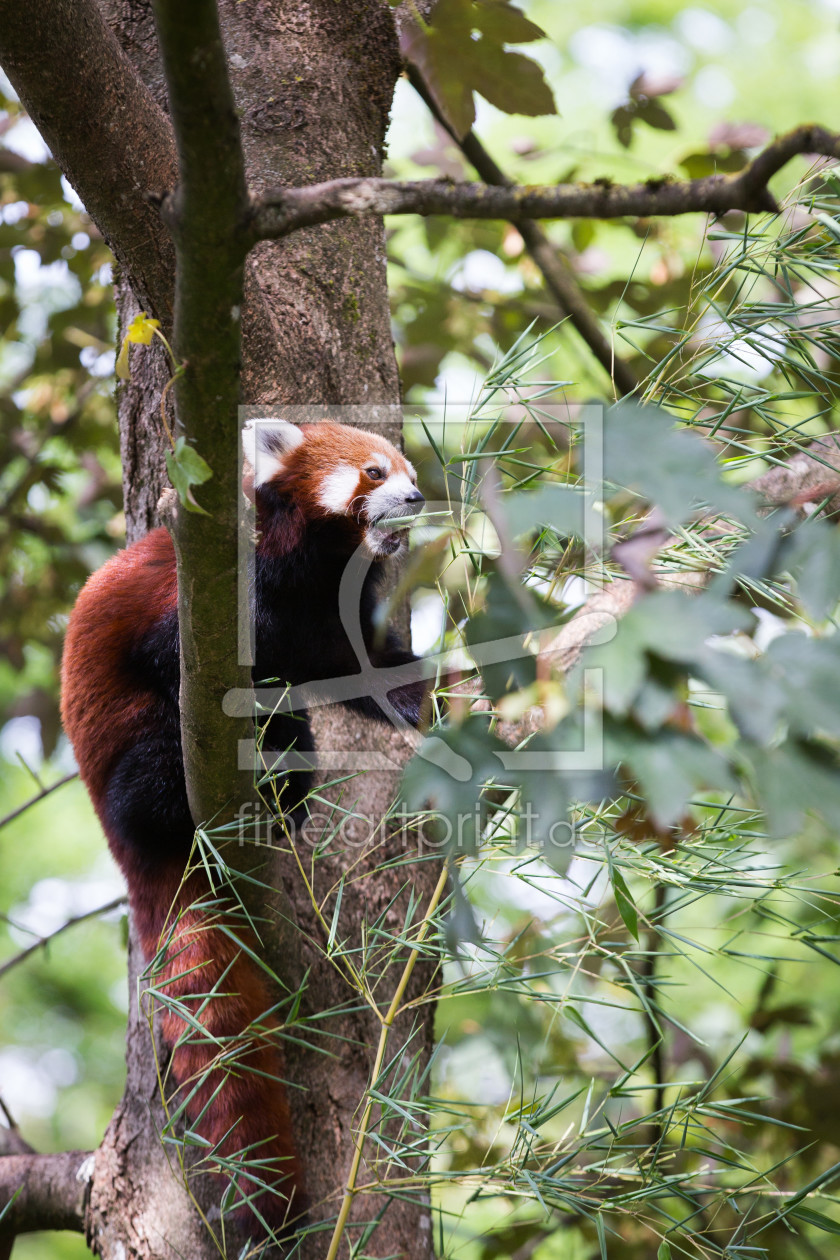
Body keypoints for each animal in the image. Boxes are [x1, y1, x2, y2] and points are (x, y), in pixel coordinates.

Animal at [60, 420, 428, 1229]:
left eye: (410, 471)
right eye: (374, 472)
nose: (418, 496)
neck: (318, 564)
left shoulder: (330, 615)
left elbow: (347, 661)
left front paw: (409, 691)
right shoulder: (225, 592)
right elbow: (193, 650)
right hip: (131, 753)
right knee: (161, 768)